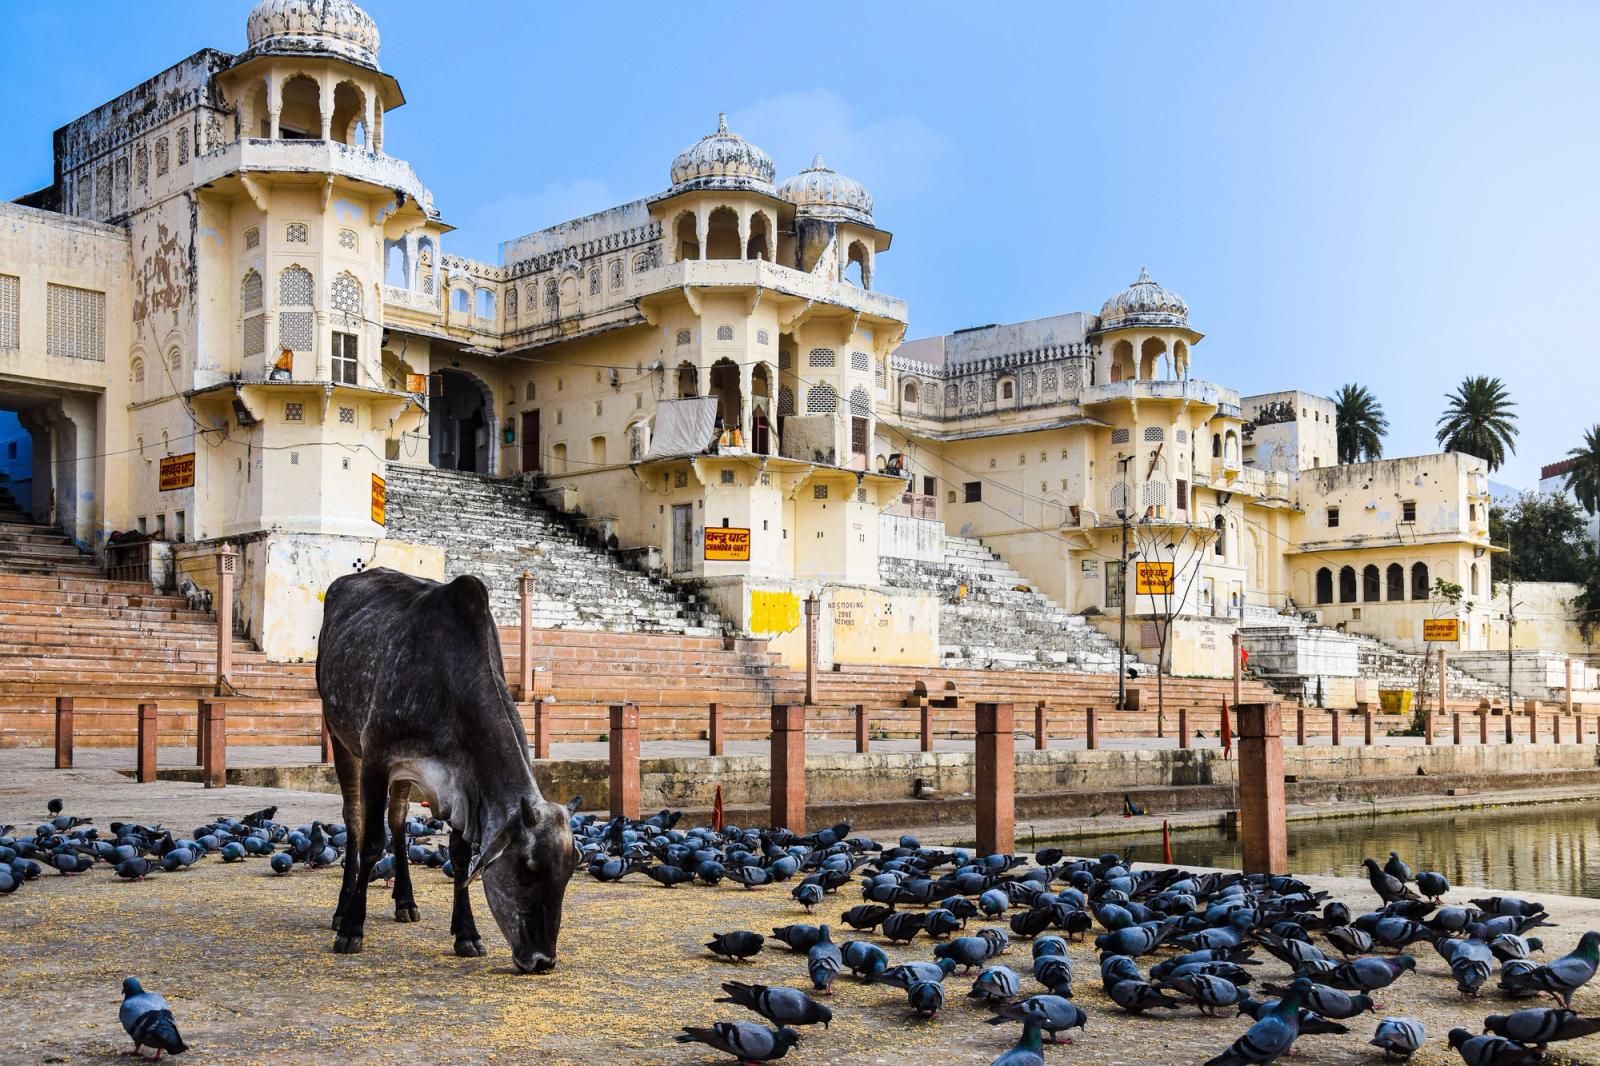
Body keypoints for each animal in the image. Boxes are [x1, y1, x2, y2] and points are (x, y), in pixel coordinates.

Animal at [316, 567, 578, 973]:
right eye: (527, 867)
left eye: (568, 873)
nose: (542, 960)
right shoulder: (377, 758)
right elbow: (372, 843)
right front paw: (352, 930)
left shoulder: (460, 784)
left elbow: (460, 855)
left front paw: (466, 934)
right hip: (340, 735)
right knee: (355, 822)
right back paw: (343, 911)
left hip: (404, 776)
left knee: (398, 819)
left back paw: (406, 903)